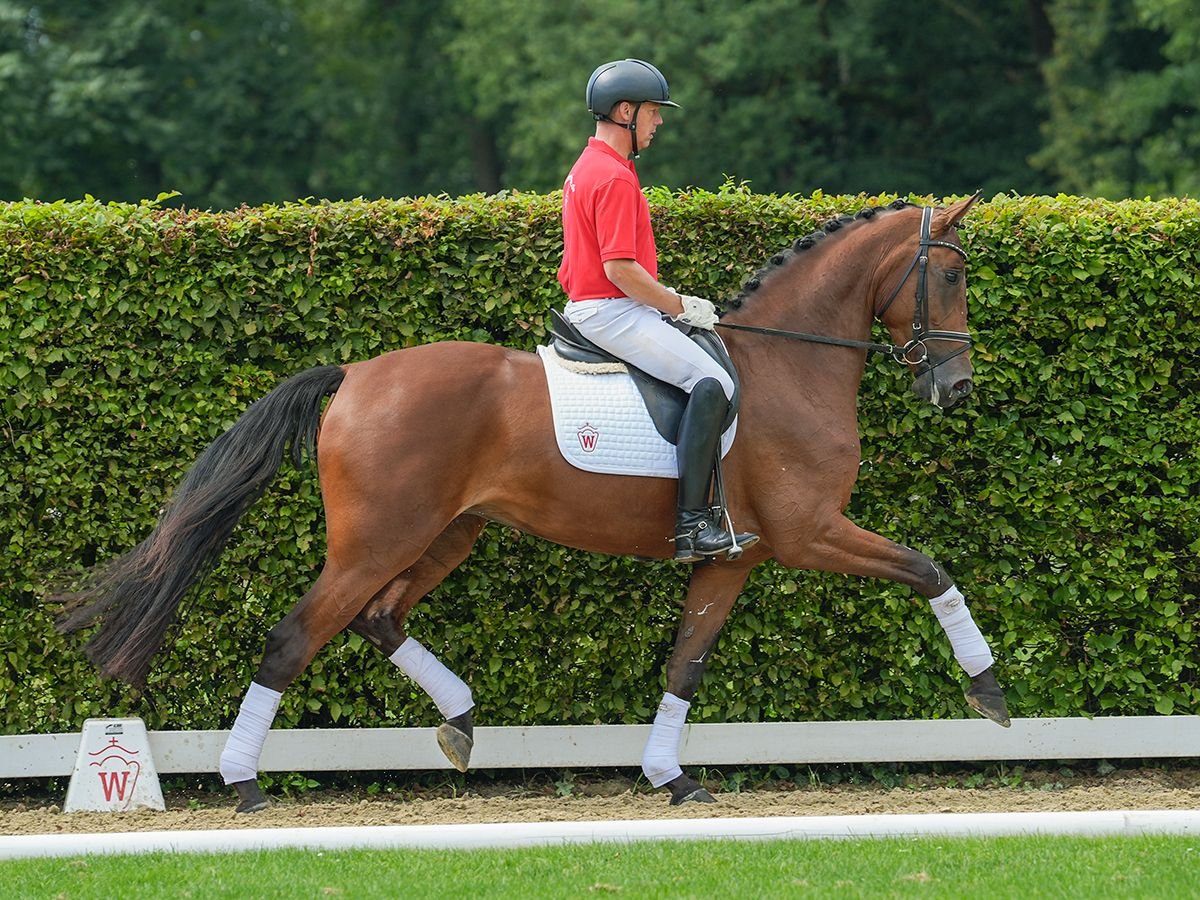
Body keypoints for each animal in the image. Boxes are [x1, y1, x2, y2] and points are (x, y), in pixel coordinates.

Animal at [58, 194, 1012, 816]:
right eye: (951, 275)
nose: (957, 387)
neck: (789, 365)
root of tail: (357, 374)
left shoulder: (734, 557)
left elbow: (686, 666)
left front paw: (672, 777)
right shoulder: (811, 533)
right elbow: (930, 569)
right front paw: (990, 691)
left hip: (449, 533)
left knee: (379, 617)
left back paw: (460, 720)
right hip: (378, 540)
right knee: (297, 637)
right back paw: (245, 782)